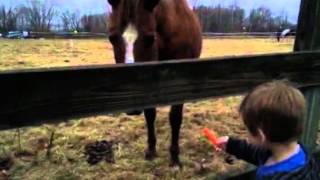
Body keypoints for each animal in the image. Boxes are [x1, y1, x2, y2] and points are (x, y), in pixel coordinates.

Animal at [107, 0, 202, 167]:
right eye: (111, 38)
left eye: (150, 38)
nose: (131, 106)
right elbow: (150, 115)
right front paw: (151, 150)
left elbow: (175, 117)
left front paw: (174, 157)